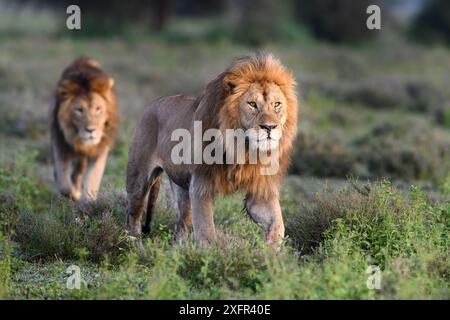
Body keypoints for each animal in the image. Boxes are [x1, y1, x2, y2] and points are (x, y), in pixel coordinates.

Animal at [50, 57, 118, 201]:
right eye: (79, 110)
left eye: (98, 109)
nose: (90, 130)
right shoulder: (60, 143)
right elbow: (63, 182)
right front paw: (74, 194)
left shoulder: (101, 149)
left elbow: (93, 177)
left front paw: (88, 200)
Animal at [125, 53, 298, 245]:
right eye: (252, 104)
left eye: (277, 104)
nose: (269, 127)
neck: (242, 148)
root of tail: (154, 103)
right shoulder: (202, 183)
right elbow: (206, 231)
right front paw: (211, 252)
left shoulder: (260, 188)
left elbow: (277, 224)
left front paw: (270, 250)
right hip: (139, 178)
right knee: (133, 214)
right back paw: (134, 243)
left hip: (183, 187)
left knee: (181, 225)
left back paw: (179, 248)